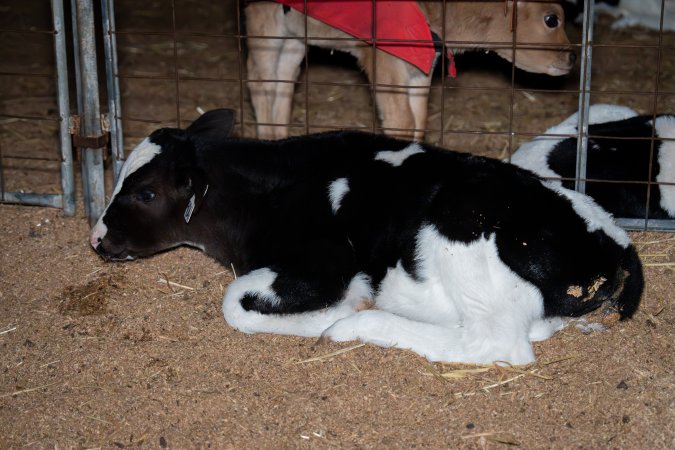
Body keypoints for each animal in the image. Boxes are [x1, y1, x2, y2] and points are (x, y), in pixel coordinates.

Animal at [90, 109, 643, 365]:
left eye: (143, 193)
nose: (96, 239)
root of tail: (616, 241)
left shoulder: (324, 263)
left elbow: (234, 303)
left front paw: (333, 314)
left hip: (461, 231)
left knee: (496, 340)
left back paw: (358, 325)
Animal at [246, 0, 576, 140]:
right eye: (552, 19)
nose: (573, 56)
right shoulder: (384, 58)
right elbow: (401, 123)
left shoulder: (419, 66)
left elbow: (418, 122)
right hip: (265, 23)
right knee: (259, 81)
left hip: (293, 36)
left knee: (282, 80)